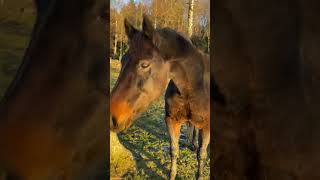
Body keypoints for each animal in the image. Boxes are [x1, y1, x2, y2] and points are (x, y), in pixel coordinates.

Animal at [110, 15, 210, 180]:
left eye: (144, 65)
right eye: (122, 60)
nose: (111, 117)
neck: (192, 87)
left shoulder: (207, 125)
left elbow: (201, 154)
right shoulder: (171, 121)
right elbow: (174, 151)